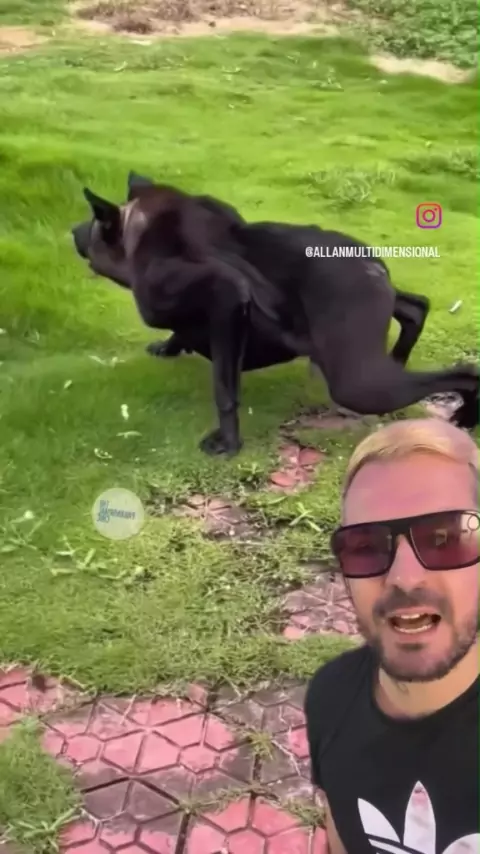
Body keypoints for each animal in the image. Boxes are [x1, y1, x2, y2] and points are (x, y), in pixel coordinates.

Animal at [71, 171, 479, 456]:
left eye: (94, 223)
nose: (72, 230)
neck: (142, 236)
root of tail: (371, 265)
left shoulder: (227, 298)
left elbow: (225, 389)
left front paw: (228, 441)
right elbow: (181, 334)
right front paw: (169, 346)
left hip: (357, 383)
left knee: (465, 371)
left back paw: (467, 414)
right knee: (414, 306)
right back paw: (400, 356)